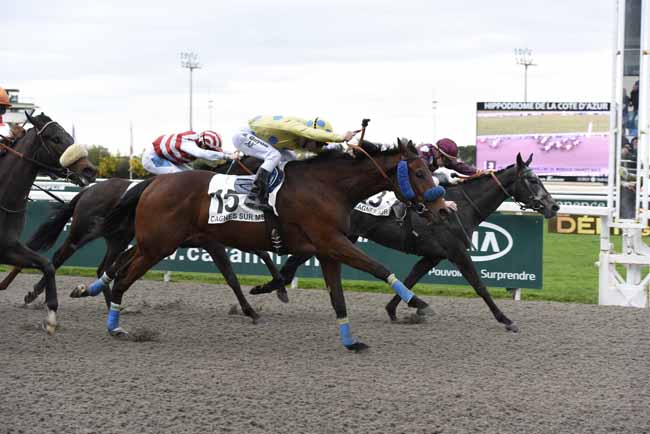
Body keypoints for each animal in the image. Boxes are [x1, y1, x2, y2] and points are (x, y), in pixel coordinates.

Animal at [0, 112, 97, 333]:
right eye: (56, 139)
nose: (89, 170)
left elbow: (47, 265)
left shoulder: (9, 246)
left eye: (69, 135)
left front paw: (51, 316)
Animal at [98, 139, 446, 351]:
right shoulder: (332, 241)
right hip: (158, 245)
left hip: (155, 243)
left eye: (430, 170)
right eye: (419, 172)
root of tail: (152, 183)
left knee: (117, 268)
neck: (328, 187)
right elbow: (379, 267)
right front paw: (417, 302)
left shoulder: (327, 250)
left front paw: (350, 342)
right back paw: (114, 327)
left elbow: (338, 298)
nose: (443, 208)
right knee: (123, 277)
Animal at [251, 153, 559, 332]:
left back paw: (271, 288)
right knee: (293, 263)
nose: (553, 206)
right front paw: (505, 319)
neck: (459, 207)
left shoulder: (433, 255)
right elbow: (479, 285)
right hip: (333, 236)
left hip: (339, 237)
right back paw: (268, 289)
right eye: (532, 180)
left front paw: (399, 309)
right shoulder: (456, 251)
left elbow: (411, 277)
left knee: (293, 263)